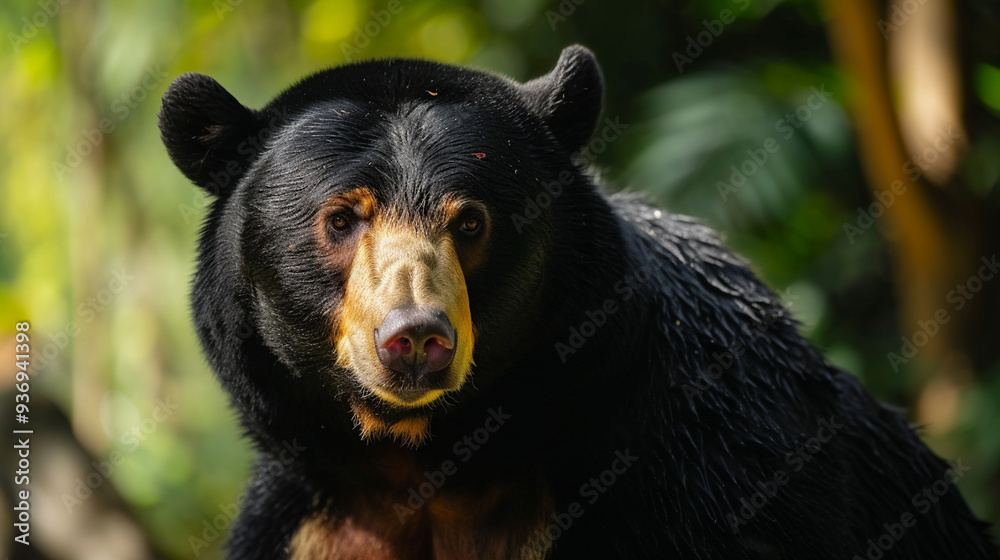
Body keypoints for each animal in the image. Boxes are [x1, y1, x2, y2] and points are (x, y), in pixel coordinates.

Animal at [158, 45, 999, 559]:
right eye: (340, 219)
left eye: (470, 222)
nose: (416, 338)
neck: (430, 464)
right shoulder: (306, 523)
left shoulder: (701, 485)